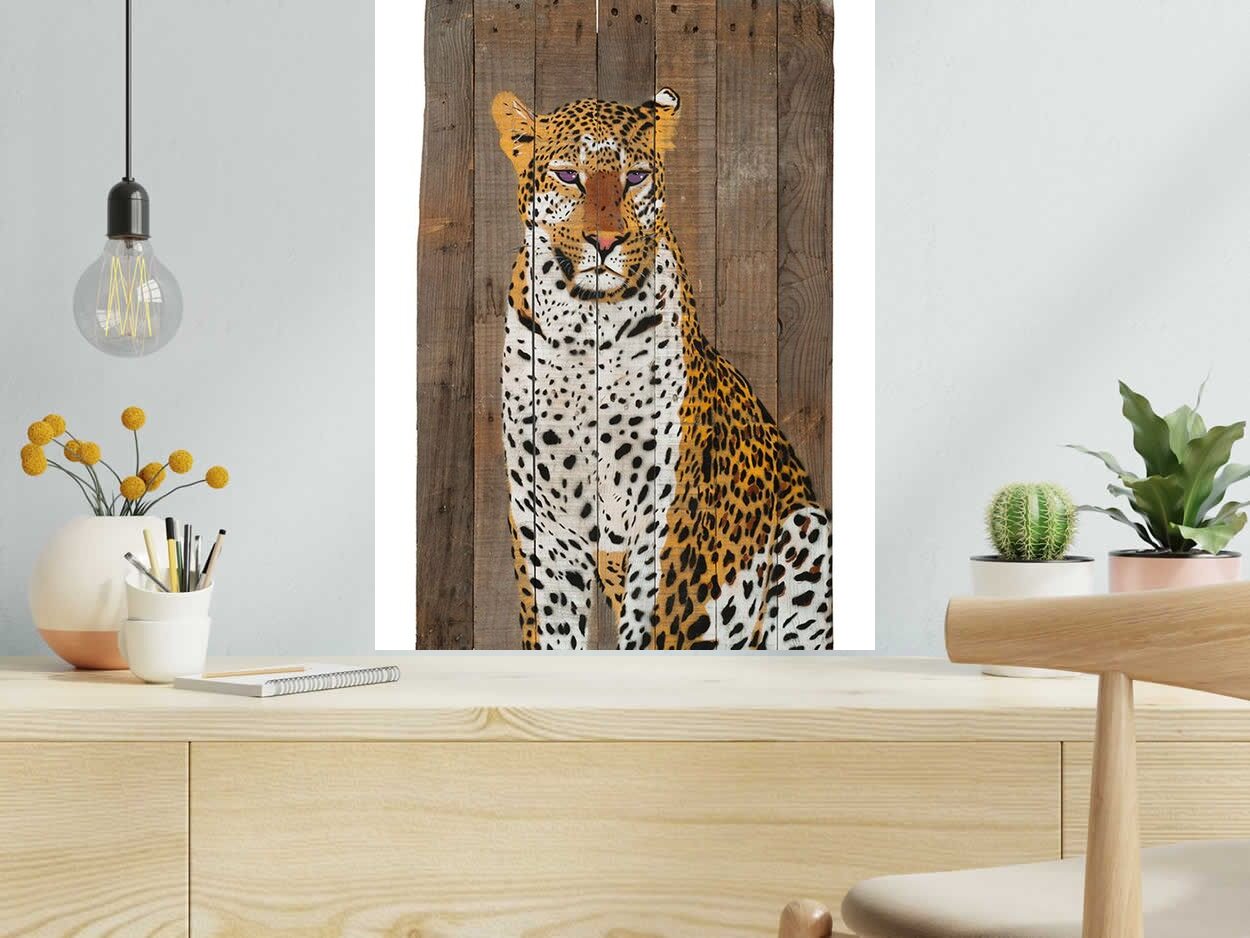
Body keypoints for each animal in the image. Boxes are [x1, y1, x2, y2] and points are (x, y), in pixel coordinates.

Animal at [492, 87, 833, 651]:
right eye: (567, 175)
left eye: (634, 177)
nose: (605, 242)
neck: (586, 329)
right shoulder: (546, 519)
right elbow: (552, 630)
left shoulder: (668, 515)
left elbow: (654, 631)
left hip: (808, 528)